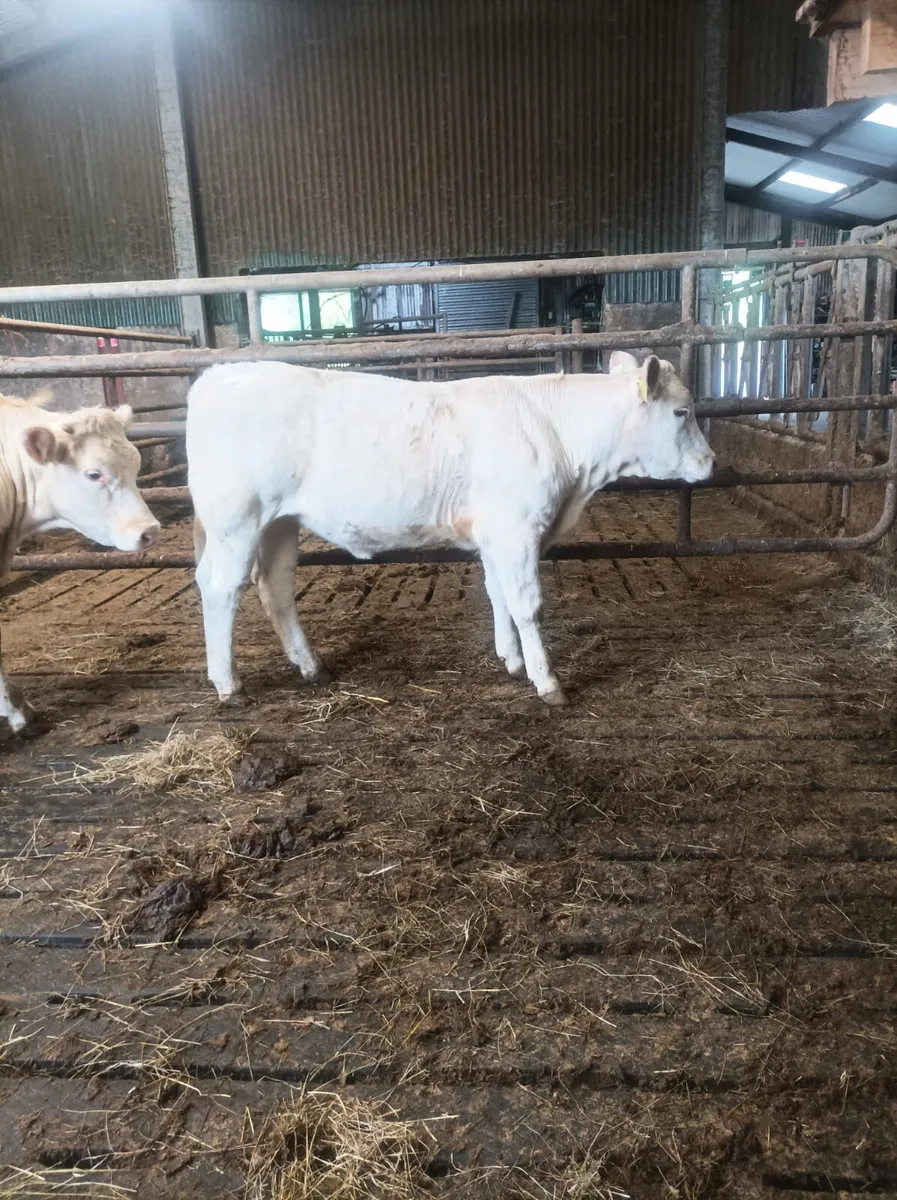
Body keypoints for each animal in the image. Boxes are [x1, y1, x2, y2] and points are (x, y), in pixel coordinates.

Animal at [187, 351, 714, 707]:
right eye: (682, 411)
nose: (710, 461)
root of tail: (216, 376)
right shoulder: (517, 527)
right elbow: (528, 605)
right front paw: (547, 682)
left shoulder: (495, 533)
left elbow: (498, 593)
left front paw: (511, 660)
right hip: (237, 519)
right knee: (220, 587)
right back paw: (228, 684)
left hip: (278, 522)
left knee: (275, 587)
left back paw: (311, 666)